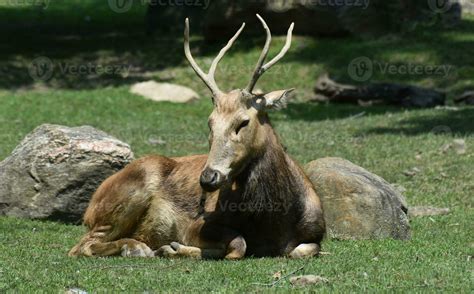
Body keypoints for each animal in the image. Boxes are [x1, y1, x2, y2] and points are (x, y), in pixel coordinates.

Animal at [68, 14, 324, 260]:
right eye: (210, 122)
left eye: (243, 121)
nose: (208, 177)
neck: (271, 224)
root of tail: (90, 207)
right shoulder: (196, 224)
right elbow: (239, 244)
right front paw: (172, 248)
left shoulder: (317, 233)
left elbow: (305, 249)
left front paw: (171, 248)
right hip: (127, 194)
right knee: (82, 245)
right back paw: (137, 248)